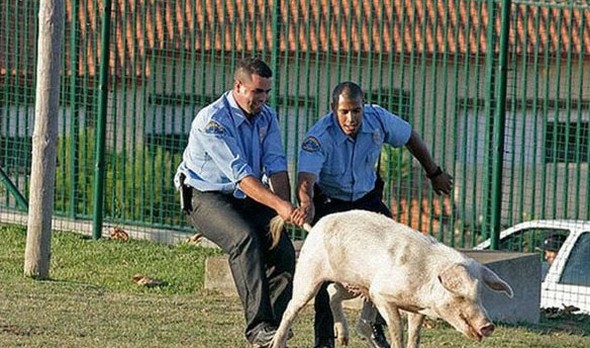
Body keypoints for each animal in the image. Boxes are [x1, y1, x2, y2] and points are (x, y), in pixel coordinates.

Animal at [272, 209, 512, 348]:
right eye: (461, 296)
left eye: (480, 294)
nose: (488, 326)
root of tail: (315, 226)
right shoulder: (381, 293)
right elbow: (397, 330)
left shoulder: (417, 309)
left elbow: (414, 335)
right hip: (309, 271)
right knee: (292, 307)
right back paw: (277, 343)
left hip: (355, 283)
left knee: (332, 292)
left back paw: (344, 340)